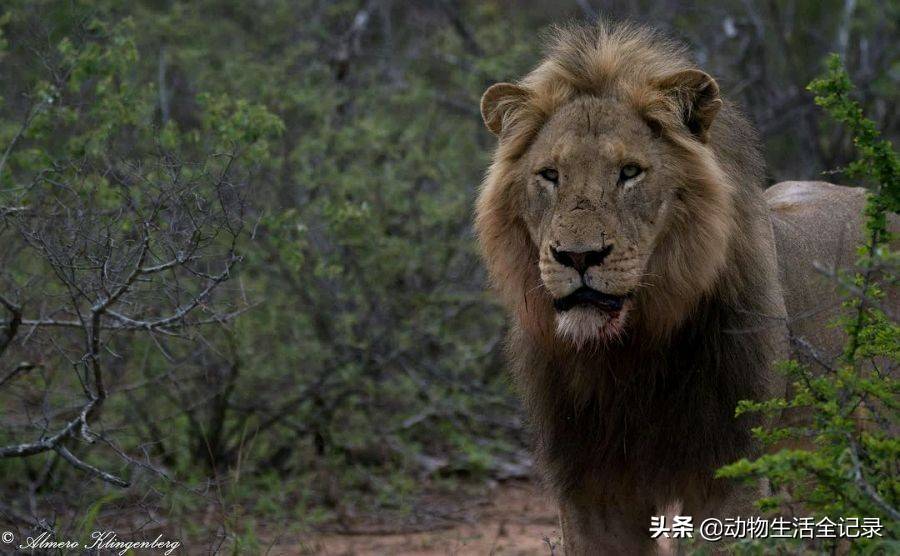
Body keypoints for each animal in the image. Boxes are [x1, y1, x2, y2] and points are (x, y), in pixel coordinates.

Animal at [478, 22, 880, 556]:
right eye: (550, 175)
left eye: (629, 173)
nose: (578, 257)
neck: (627, 355)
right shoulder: (589, 489)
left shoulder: (728, 473)